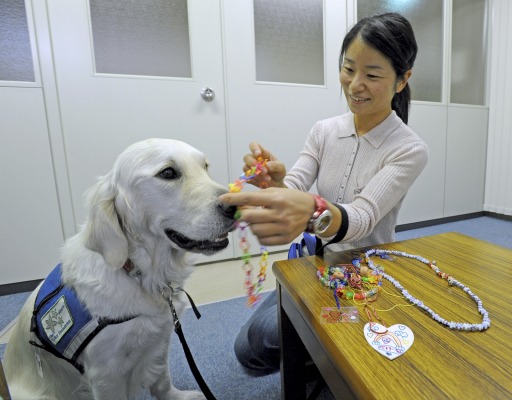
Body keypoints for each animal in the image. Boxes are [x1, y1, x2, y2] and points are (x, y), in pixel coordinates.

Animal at [3, 138, 236, 400]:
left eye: (205, 166)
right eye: (168, 173)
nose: (236, 205)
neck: (139, 272)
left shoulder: (159, 341)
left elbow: (161, 379)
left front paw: (176, 396)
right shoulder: (106, 373)